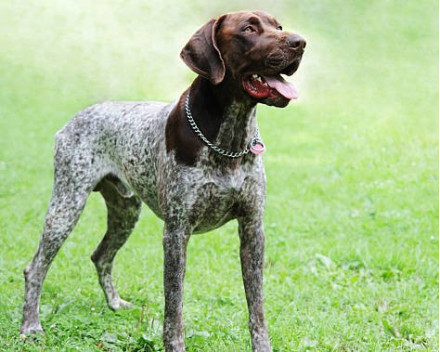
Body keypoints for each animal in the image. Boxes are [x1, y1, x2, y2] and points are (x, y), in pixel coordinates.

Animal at [20, 11, 306, 352]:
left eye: (278, 26)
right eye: (249, 28)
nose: (300, 42)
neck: (229, 141)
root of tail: (77, 117)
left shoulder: (252, 229)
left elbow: (257, 308)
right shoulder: (176, 233)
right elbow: (174, 308)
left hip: (126, 212)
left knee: (101, 256)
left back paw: (114, 304)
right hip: (66, 206)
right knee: (36, 268)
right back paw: (30, 326)